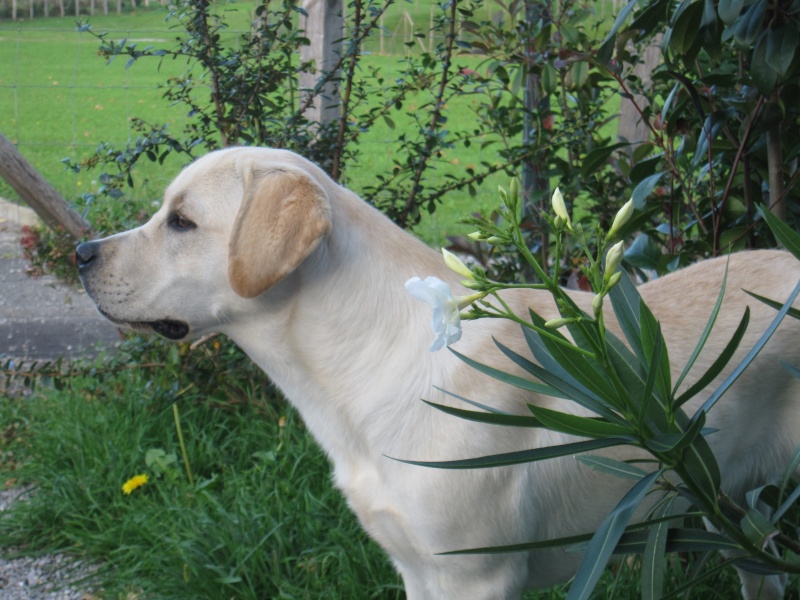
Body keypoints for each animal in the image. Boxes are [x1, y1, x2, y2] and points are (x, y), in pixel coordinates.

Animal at [76, 146, 800, 600]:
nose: (80, 251)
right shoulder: (416, 568)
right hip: (733, 518)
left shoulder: (472, 577)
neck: (363, 369)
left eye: (182, 221)